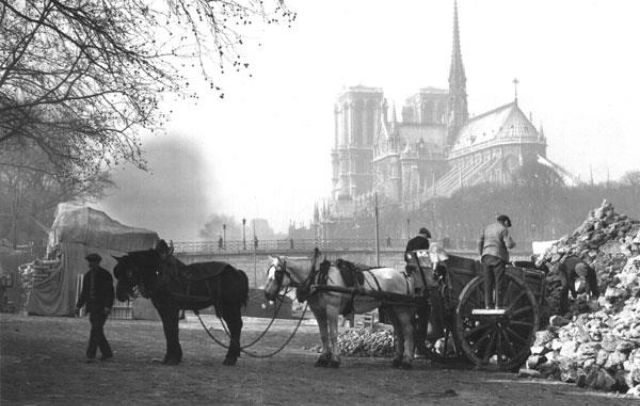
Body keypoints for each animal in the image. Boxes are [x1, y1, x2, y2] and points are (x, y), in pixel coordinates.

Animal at [112, 246, 248, 366]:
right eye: (117, 273)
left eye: (129, 272)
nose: (119, 295)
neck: (160, 274)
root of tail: (237, 272)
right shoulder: (162, 309)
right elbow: (168, 329)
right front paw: (169, 357)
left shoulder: (171, 308)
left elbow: (172, 329)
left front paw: (173, 358)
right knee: (234, 326)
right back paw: (234, 355)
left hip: (230, 307)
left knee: (235, 326)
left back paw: (230, 357)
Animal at [264, 256, 418, 368]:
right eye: (268, 273)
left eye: (277, 273)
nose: (267, 294)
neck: (319, 280)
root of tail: (403, 275)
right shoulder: (318, 312)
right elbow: (323, 335)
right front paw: (323, 358)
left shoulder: (332, 309)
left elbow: (333, 334)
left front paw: (335, 360)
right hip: (390, 307)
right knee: (399, 331)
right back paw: (397, 359)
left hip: (401, 308)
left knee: (408, 330)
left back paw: (407, 360)